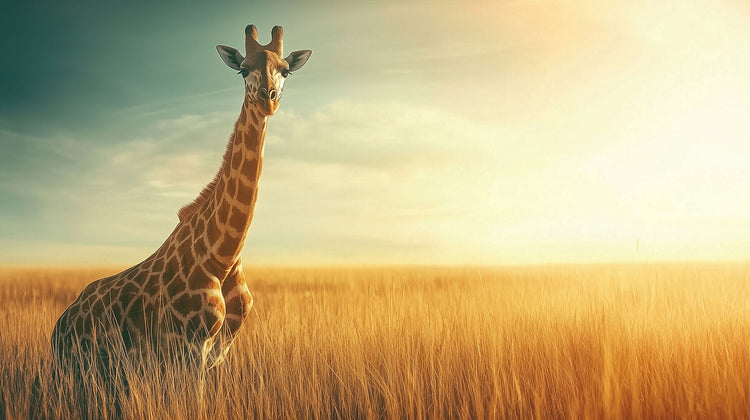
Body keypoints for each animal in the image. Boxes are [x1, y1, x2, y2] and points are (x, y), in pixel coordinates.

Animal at [51, 24, 311, 374]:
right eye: (243, 70)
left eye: (286, 71)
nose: (266, 98)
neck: (222, 256)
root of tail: (58, 327)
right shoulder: (187, 351)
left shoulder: (216, 353)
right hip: (79, 368)